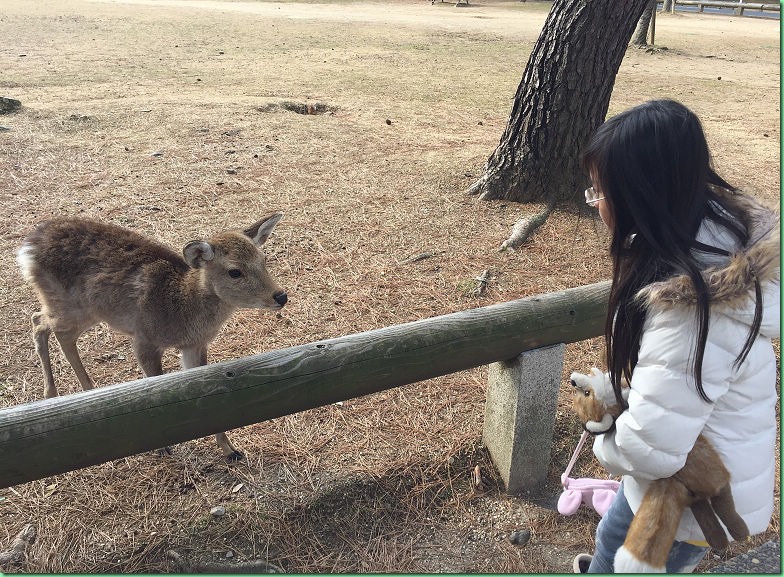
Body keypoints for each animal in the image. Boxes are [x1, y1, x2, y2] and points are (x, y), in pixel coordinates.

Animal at [16, 212, 288, 460]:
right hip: (70, 305)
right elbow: (153, 388)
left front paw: (230, 450)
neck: (182, 309)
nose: (281, 296)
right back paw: (69, 392)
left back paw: (69, 393)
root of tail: (28, 248)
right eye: (234, 271)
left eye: (264, 259)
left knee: (43, 322)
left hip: (86, 310)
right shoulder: (144, 339)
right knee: (47, 327)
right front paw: (162, 446)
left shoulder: (195, 345)